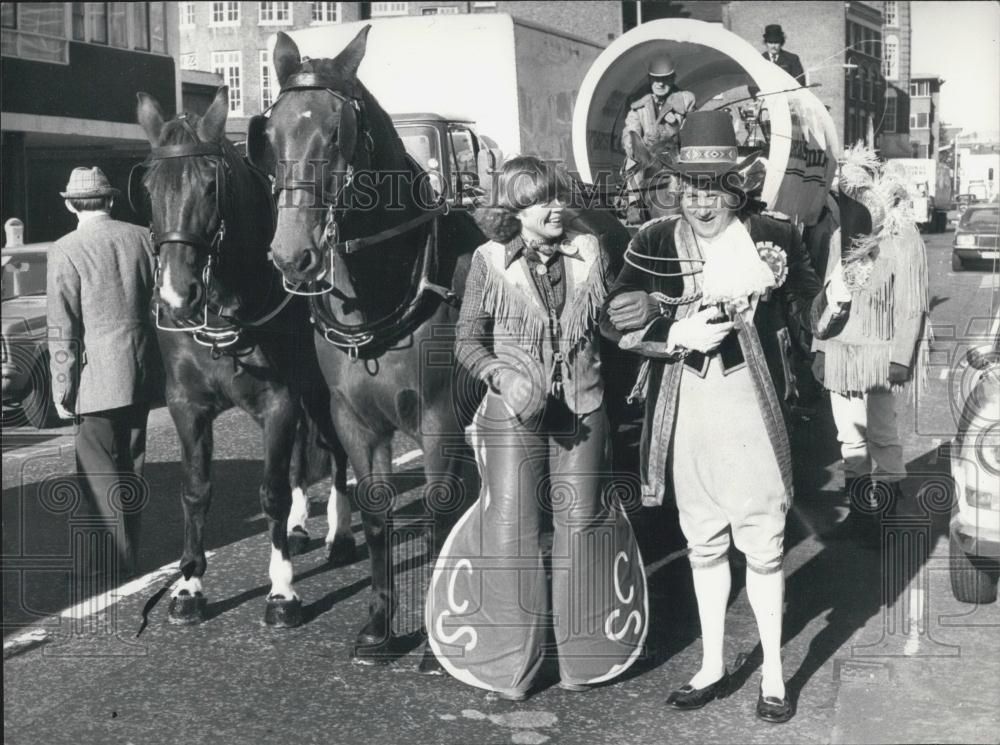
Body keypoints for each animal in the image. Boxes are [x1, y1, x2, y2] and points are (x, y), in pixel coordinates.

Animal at [133, 84, 352, 624]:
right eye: (149, 188)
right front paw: (188, 584)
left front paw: (282, 590)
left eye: (212, 186)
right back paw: (300, 525)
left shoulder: (279, 399)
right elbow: (195, 490)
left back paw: (340, 532)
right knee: (303, 455)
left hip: (319, 390)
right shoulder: (186, 405)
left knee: (335, 450)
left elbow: (270, 491)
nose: (175, 295)